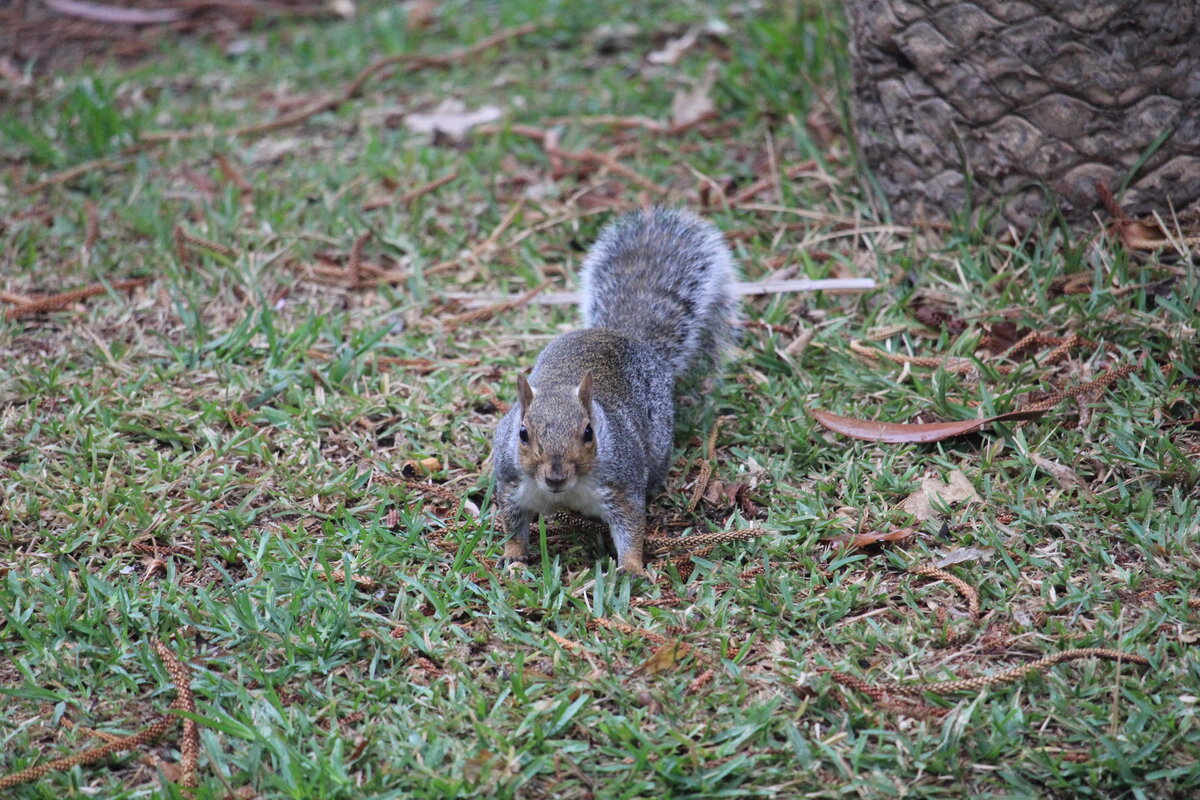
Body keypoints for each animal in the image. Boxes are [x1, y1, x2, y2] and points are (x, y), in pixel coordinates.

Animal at [489, 206, 734, 578]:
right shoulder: (511, 486)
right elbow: (513, 524)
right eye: (522, 433)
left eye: (589, 433)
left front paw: (631, 568)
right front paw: (514, 557)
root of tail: (625, 335)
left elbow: (631, 527)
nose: (556, 475)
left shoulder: (622, 488)